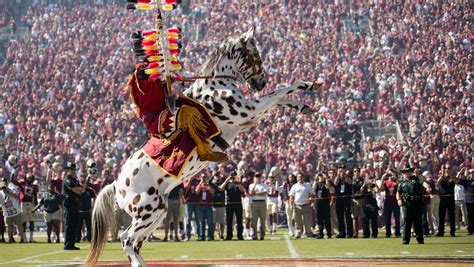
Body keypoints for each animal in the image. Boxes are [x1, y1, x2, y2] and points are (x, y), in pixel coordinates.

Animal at [84, 28, 322, 267]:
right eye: (255, 54)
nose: (261, 82)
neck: (215, 88)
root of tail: (116, 185)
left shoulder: (248, 115)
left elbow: (280, 99)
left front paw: (304, 106)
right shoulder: (248, 111)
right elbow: (280, 92)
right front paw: (310, 83)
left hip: (158, 212)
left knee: (135, 243)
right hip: (148, 211)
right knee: (126, 239)